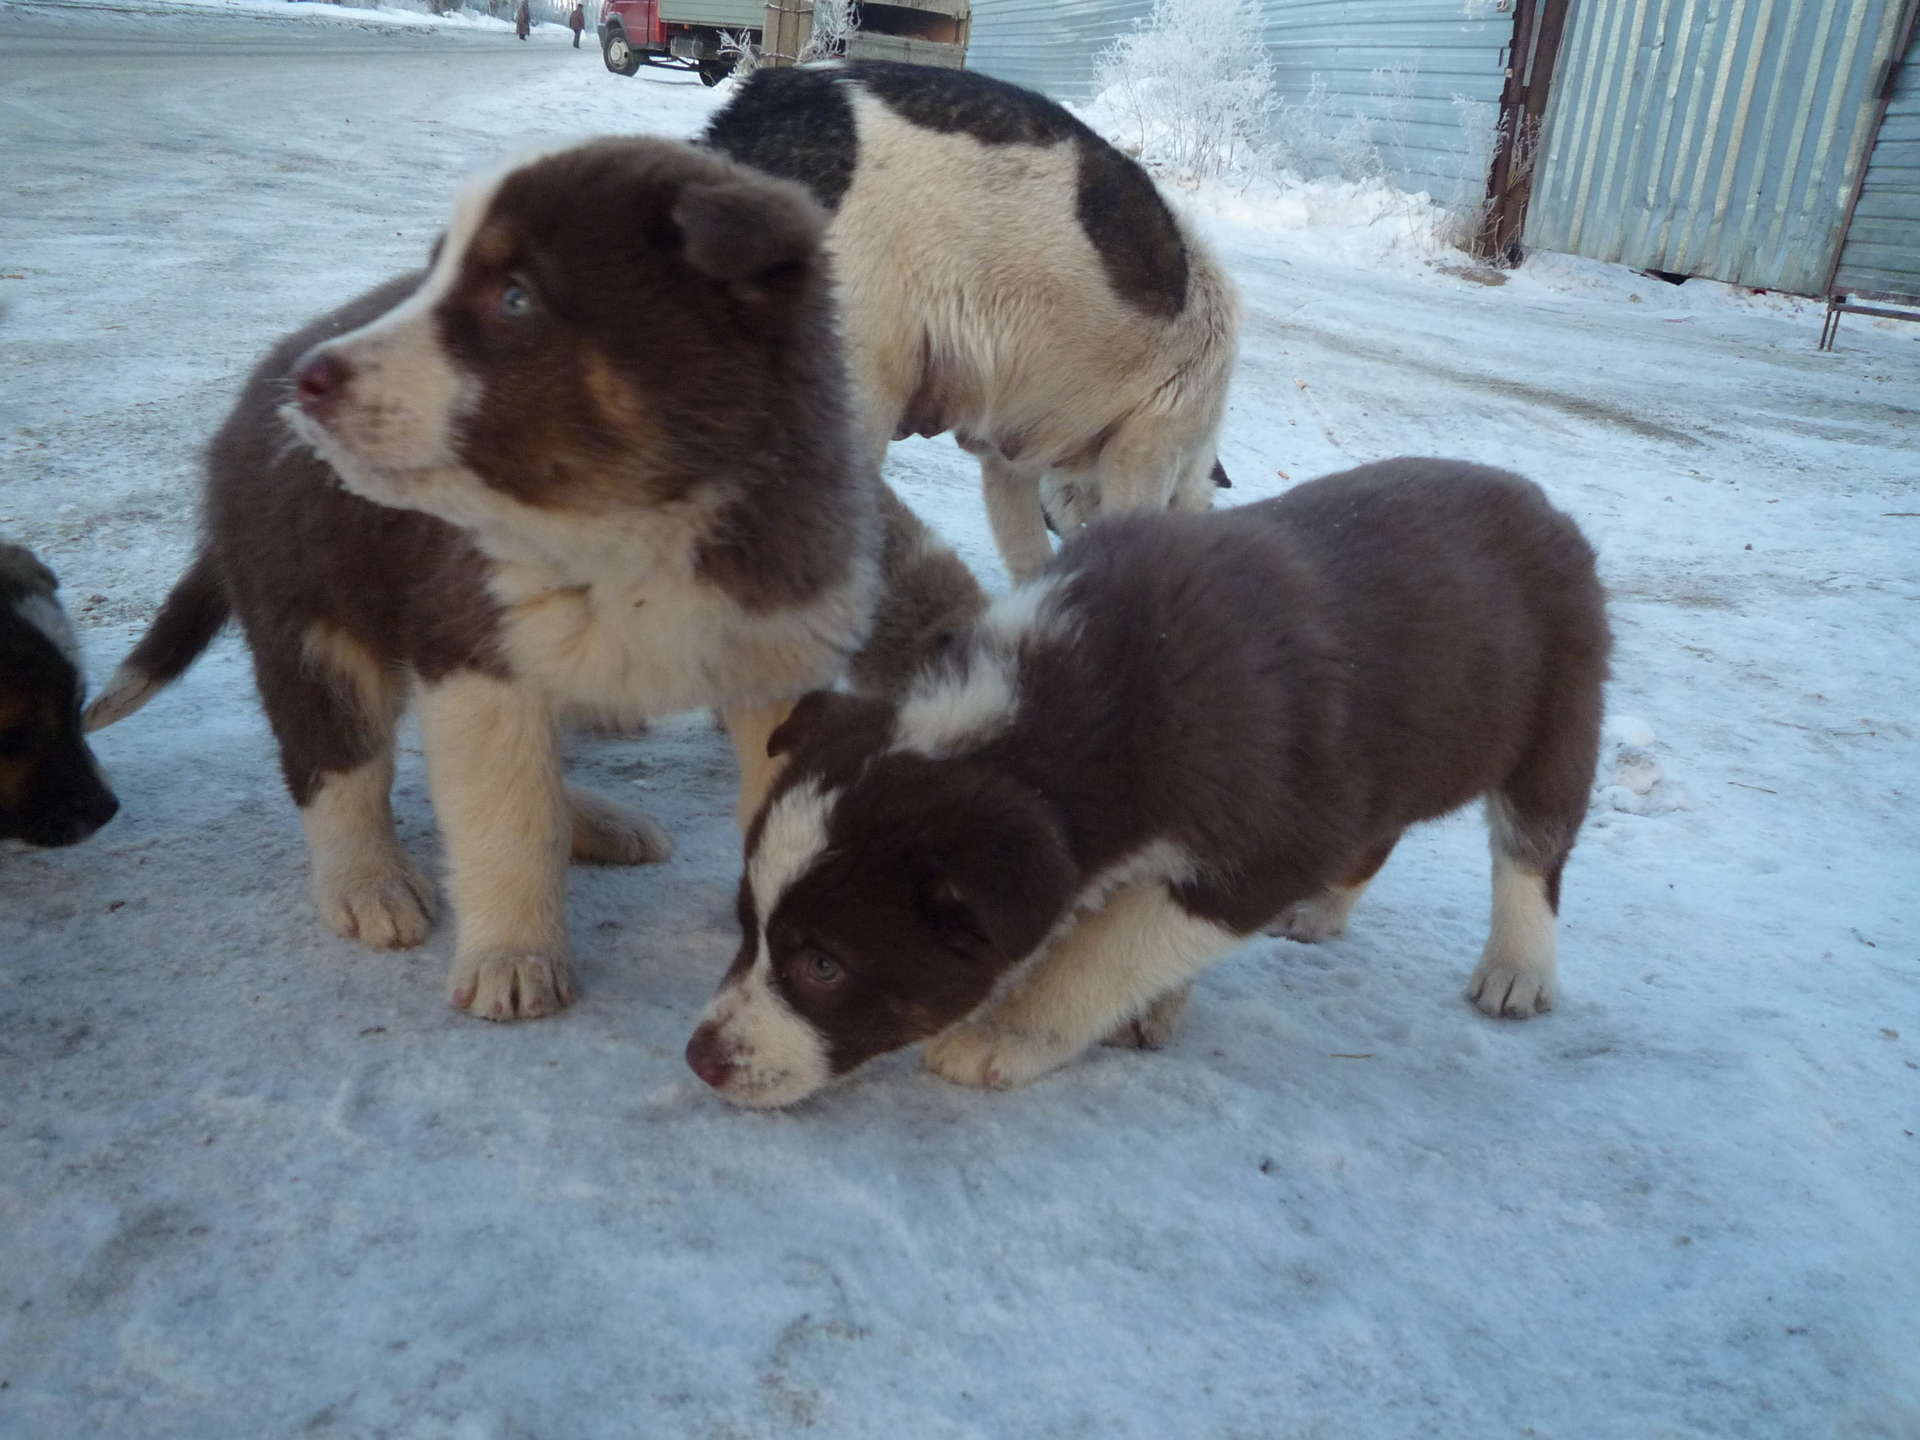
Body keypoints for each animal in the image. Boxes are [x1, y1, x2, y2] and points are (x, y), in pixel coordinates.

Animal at [82, 137, 945, 1020]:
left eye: (516, 298)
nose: (309, 381)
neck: (631, 526)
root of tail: (245, 408)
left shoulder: (776, 660)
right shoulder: (474, 654)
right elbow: (508, 819)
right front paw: (513, 959)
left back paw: (594, 822)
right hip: (312, 621)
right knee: (337, 761)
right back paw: (368, 883)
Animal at [685, 459, 1611, 1106]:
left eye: (823, 964)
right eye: (748, 927)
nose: (700, 1059)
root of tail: (1549, 507)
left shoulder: (1261, 848)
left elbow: (1108, 945)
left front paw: (1008, 1035)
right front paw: (1153, 1005)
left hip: (1559, 716)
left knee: (1534, 850)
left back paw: (1518, 970)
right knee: (1376, 832)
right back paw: (1322, 912)